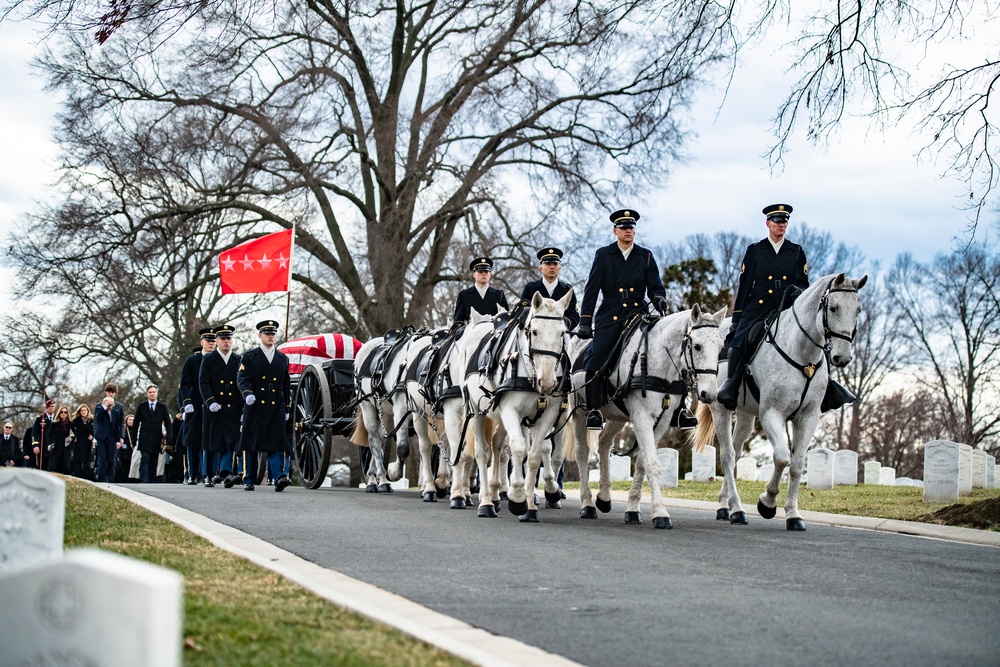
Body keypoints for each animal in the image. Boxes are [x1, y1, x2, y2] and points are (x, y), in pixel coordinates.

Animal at [458, 292, 572, 520]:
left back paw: (495, 494)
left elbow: (535, 454)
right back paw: (485, 502)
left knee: (496, 444)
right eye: (534, 331)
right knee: (482, 452)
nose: (547, 382)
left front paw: (530, 506)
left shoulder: (548, 414)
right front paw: (518, 497)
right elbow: (519, 448)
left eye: (562, 332)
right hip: (475, 412)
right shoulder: (512, 412)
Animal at [572, 306, 728, 528]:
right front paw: (660, 513)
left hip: (617, 416)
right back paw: (587, 504)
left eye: (720, 347)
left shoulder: (661, 420)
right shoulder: (642, 417)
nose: (710, 394)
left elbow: (642, 463)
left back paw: (604, 497)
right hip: (578, 412)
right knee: (582, 452)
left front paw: (633, 509)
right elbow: (653, 465)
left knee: (604, 443)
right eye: (697, 346)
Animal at [696, 274, 868, 528]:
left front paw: (793, 514)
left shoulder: (808, 417)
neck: (803, 356)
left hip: (746, 414)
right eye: (833, 307)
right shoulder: (772, 414)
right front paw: (767, 503)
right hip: (721, 409)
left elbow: (796, 465)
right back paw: (737, 509)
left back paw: (724, 505)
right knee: (727, 457)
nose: (842, 357)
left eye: (858, 310)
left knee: (736, 453)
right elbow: (781, 458)